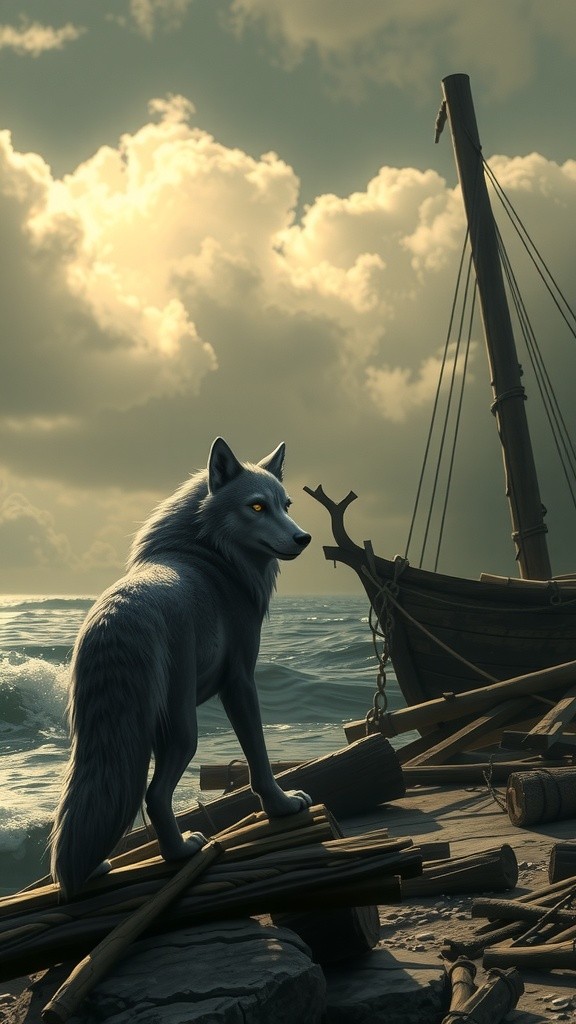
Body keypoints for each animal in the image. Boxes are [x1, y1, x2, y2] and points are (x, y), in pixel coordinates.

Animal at [50, 438, 312, 898]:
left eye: (286, 504)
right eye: (257, 507)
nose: (304, 537)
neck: (212, 557)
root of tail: (122, 612)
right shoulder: (240, 682)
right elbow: (259, 759)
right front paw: (281, 807)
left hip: (100, 737)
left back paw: (93, 867)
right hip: (183, 731)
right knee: (154, 796)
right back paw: (182, 852)